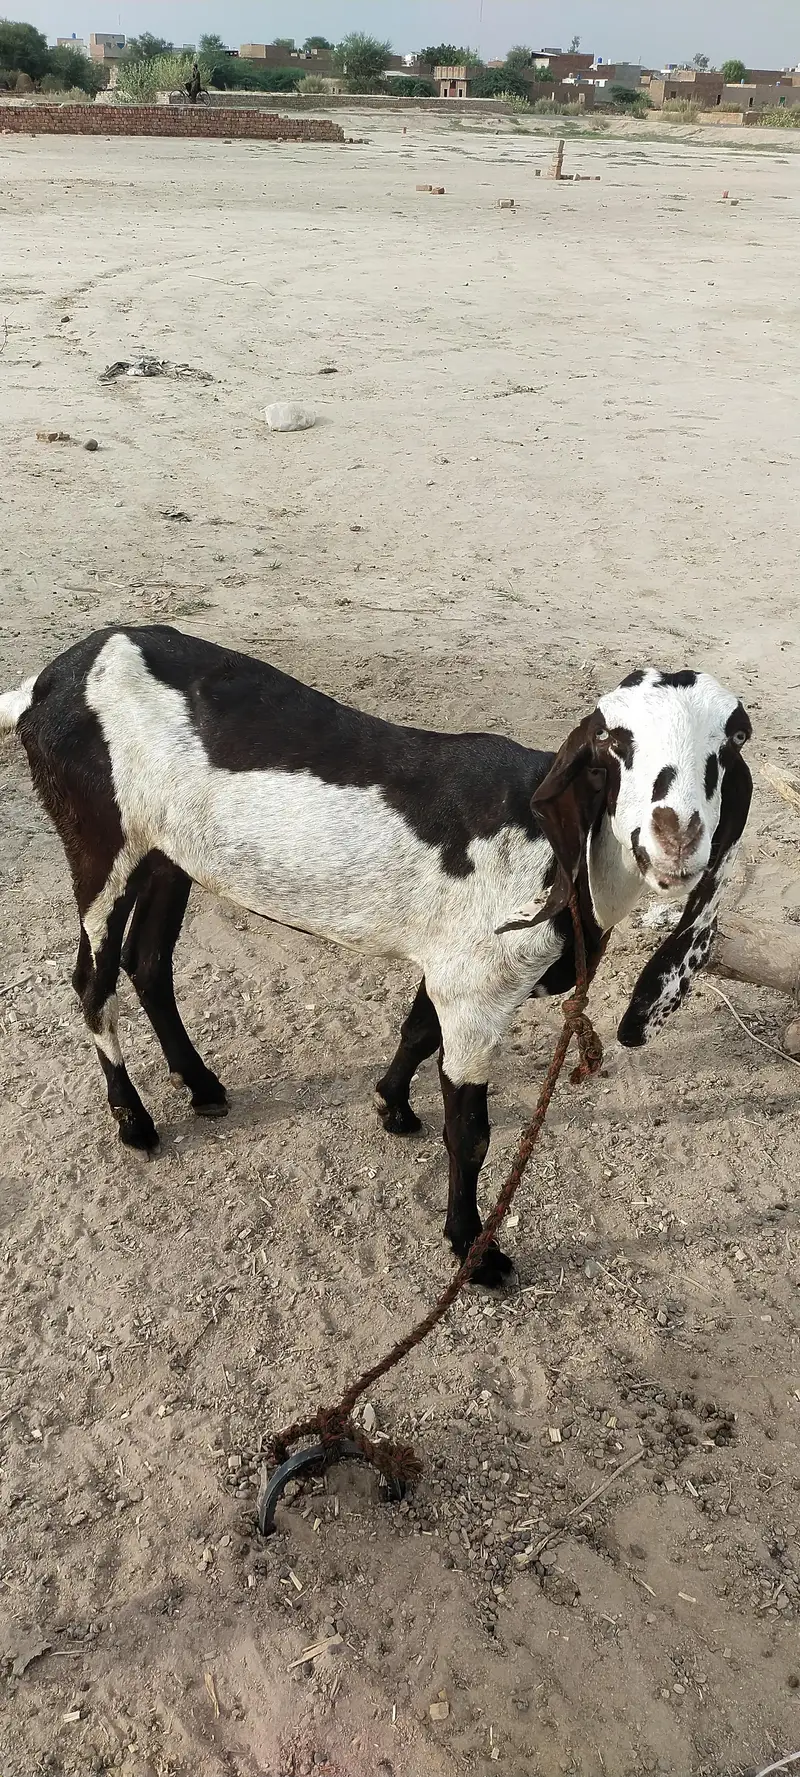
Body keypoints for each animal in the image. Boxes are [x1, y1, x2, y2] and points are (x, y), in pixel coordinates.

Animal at [0, 628, 752, 1287]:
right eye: (613, 745)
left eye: (729, 745)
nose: (675, 837)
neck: (550, 840)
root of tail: (48, 682)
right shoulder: (477, 991)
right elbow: (471, 1131)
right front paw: (474, 1251)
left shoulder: (452, 966)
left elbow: (417, 1028)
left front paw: (391, 1106)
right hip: (101, 839)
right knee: (93, 978)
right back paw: (134, 1120)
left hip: (167, 853)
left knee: (149, 961)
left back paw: (203, 1085)